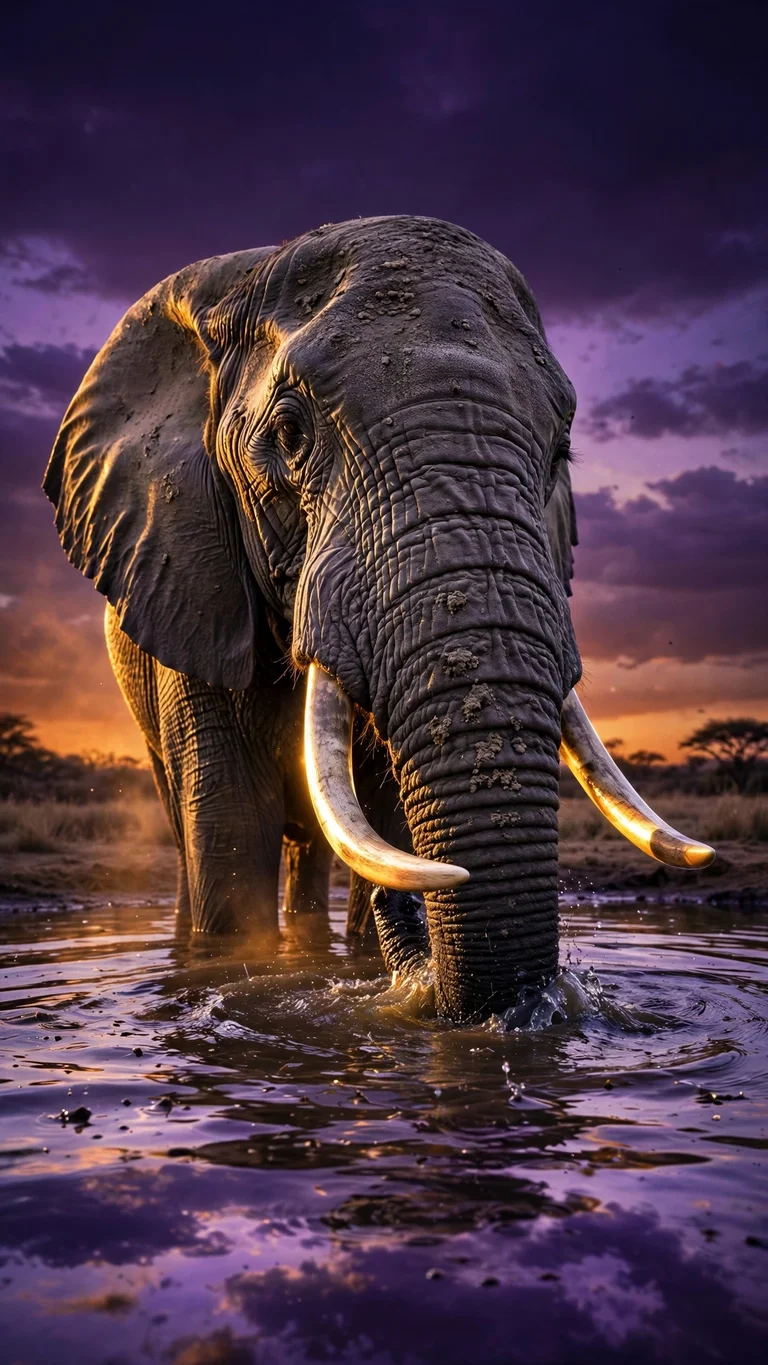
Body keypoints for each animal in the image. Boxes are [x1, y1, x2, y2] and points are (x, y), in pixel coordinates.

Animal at [45, 215, 714, 1024]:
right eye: (290, 436)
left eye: (562, 449)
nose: (425, 894)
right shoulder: (193, 581)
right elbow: (232, 834)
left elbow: (387, 820)